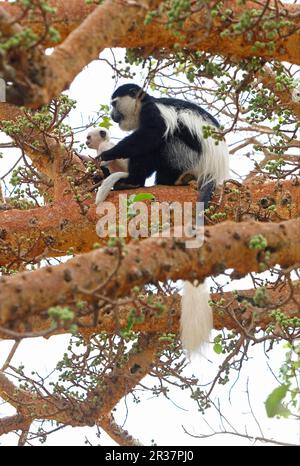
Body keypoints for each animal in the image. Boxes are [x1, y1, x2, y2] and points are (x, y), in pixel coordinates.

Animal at [95, 83, 229, 354]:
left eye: (114, 104)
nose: (113, 115)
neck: (146, 102)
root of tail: (213, 171)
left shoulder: (153, 113)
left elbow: (152, 134)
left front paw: (108, 155)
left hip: (186, 158)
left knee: (162, 142)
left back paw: (137, 181)